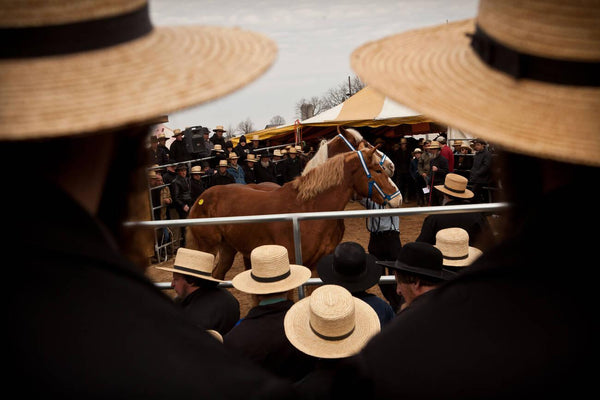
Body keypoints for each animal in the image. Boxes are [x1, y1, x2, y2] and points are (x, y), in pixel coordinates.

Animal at [186, 145, 404, 280]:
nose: (398, 198)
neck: (310, 207)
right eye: (377, 170)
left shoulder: (315, 265)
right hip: (205, 250)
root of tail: (200, 199)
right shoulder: (293, 264)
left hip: (227, 249)